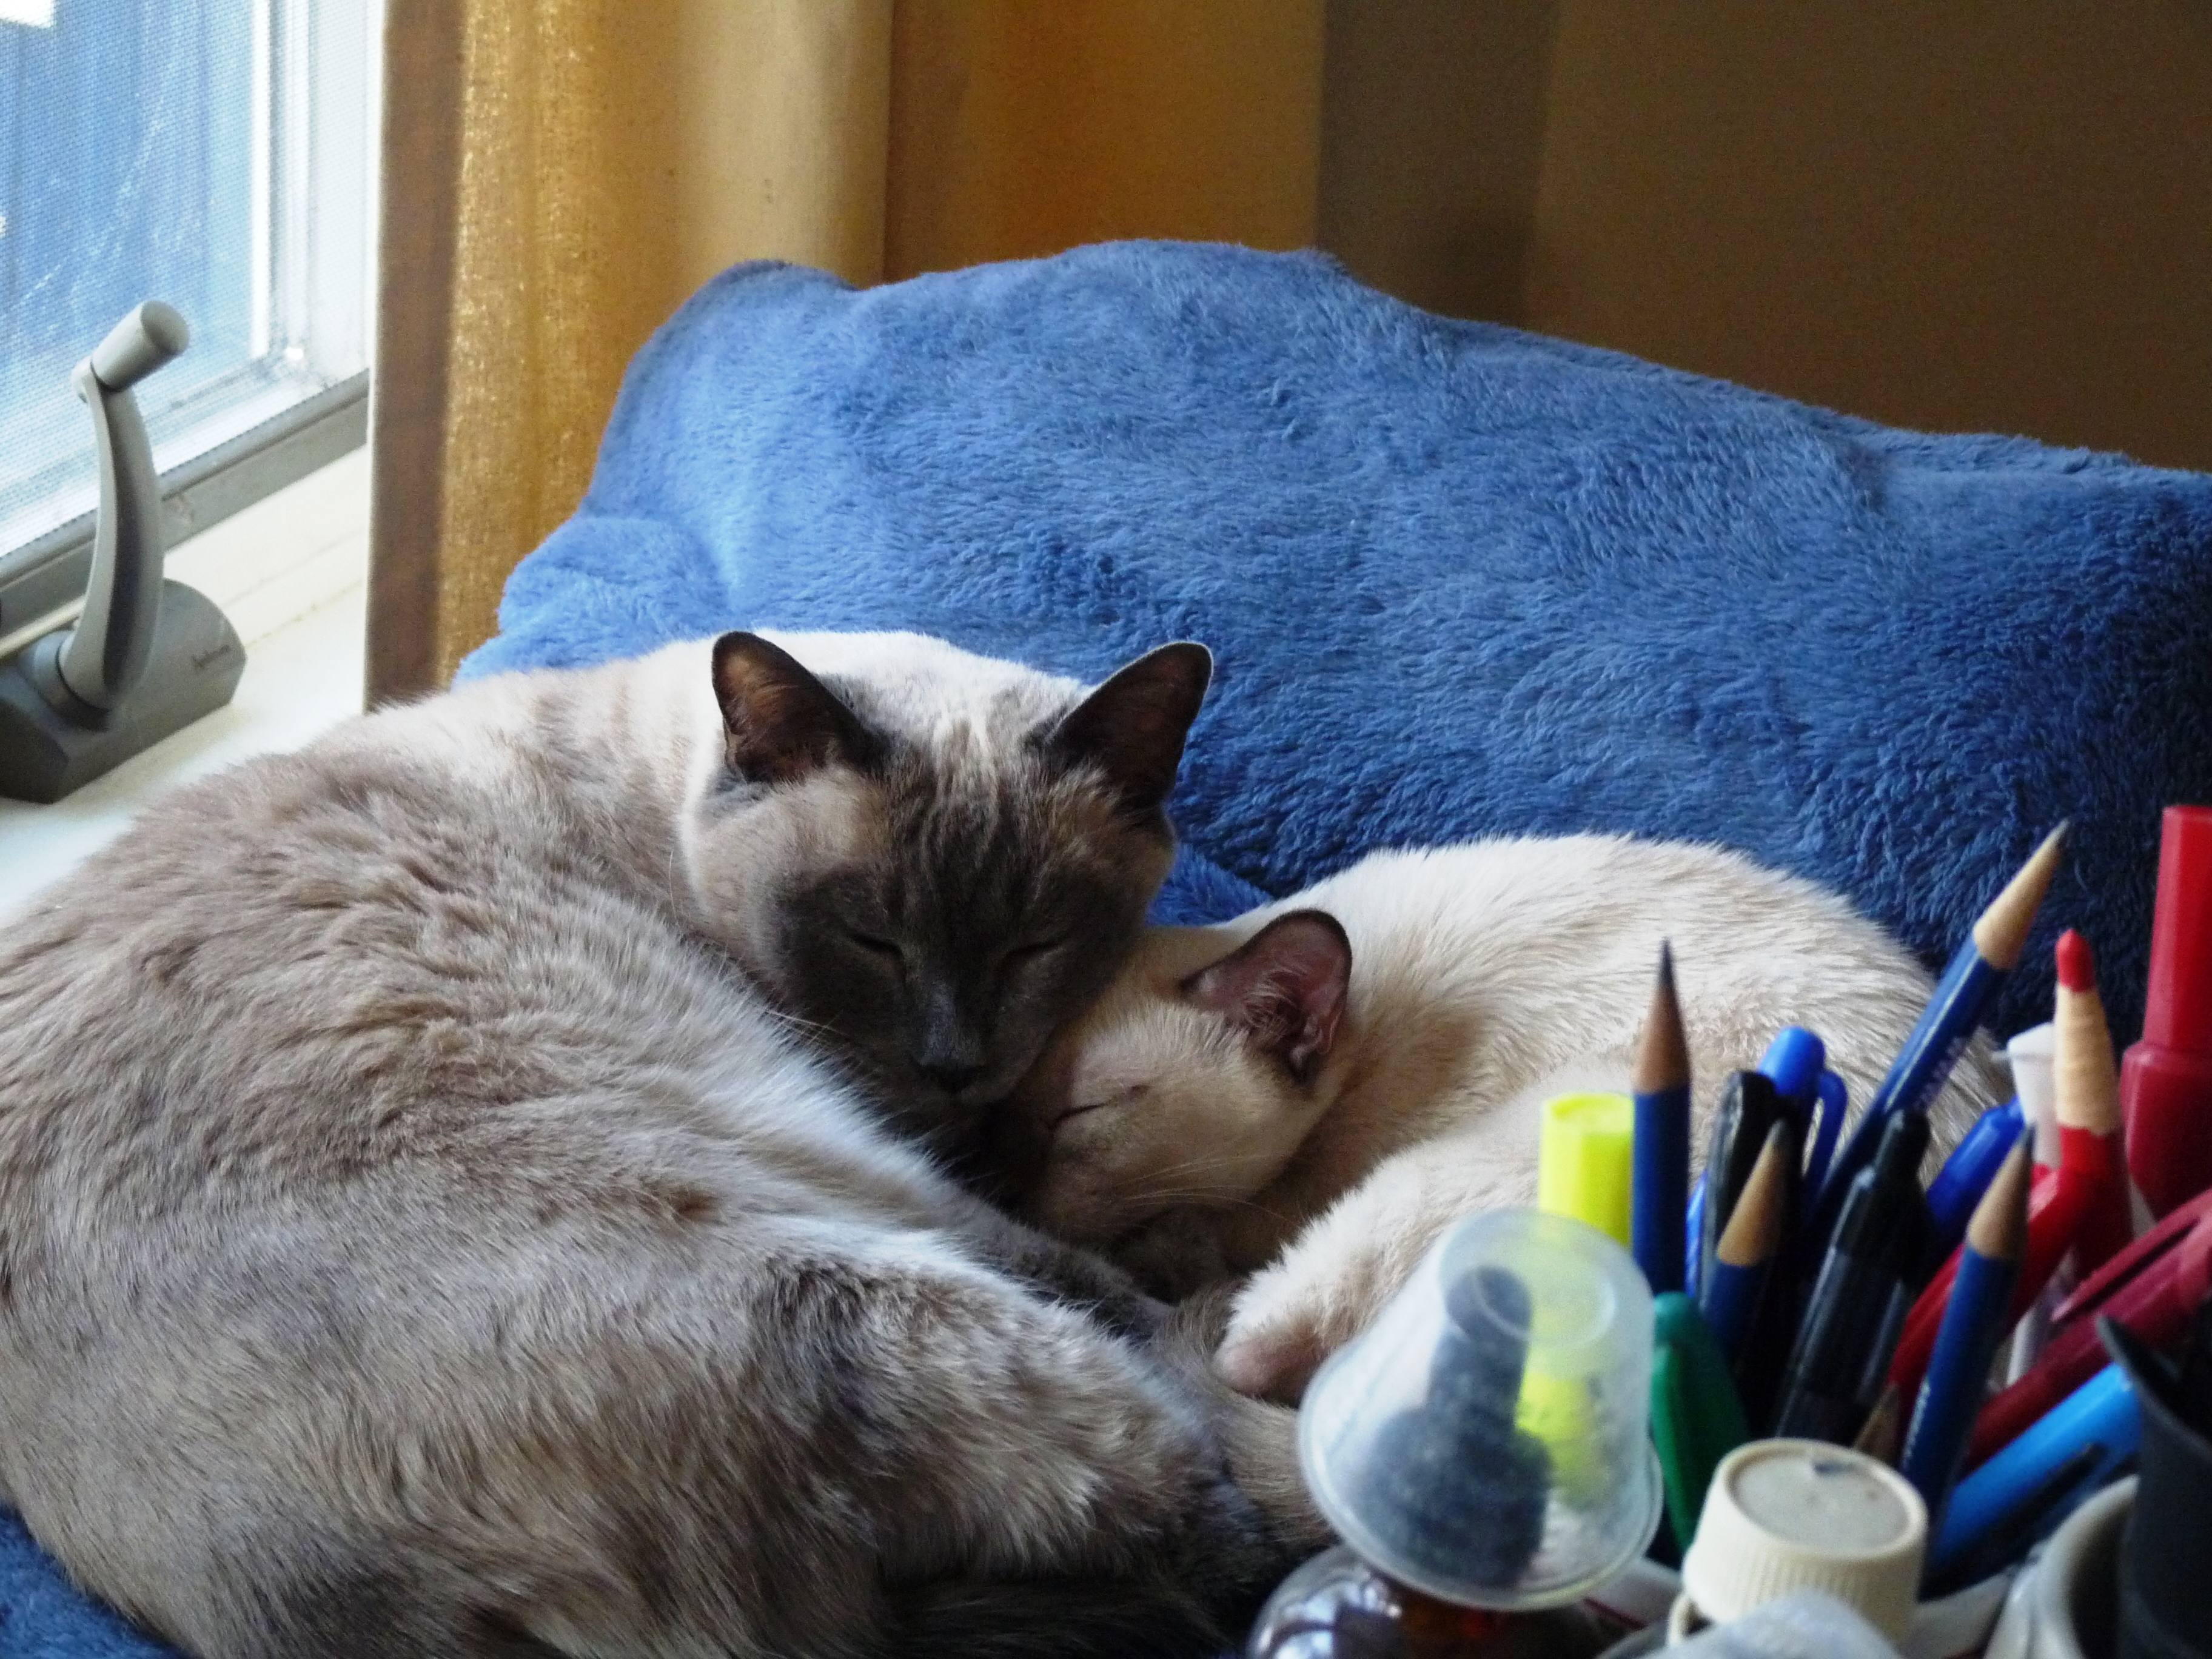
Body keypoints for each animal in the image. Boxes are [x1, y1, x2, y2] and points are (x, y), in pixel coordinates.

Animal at [0, 628, 1309, 1659]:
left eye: (1038, 943)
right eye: (870, 937)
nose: (955, 1060)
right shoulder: (890, 1158)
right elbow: (1070, 1262)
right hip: (885, 1278)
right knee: (1212, 1512)